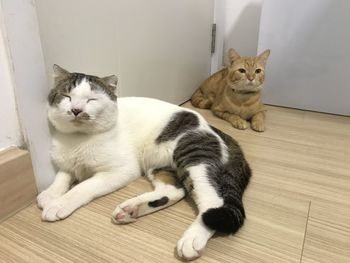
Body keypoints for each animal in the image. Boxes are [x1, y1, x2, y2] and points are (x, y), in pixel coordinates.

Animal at [37, 65, 252, 260]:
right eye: (66, 96)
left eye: (92, 99)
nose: (76, 110)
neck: (78, 139)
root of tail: (213, 128)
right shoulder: (66, 161)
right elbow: (63, 175)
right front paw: (50, 194)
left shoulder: (120, 170)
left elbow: (84, 187)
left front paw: (60, 203)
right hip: (158, 164)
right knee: (175, 191)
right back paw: (132, 209)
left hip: (193, 155)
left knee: (212, 202)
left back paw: (192, 238)